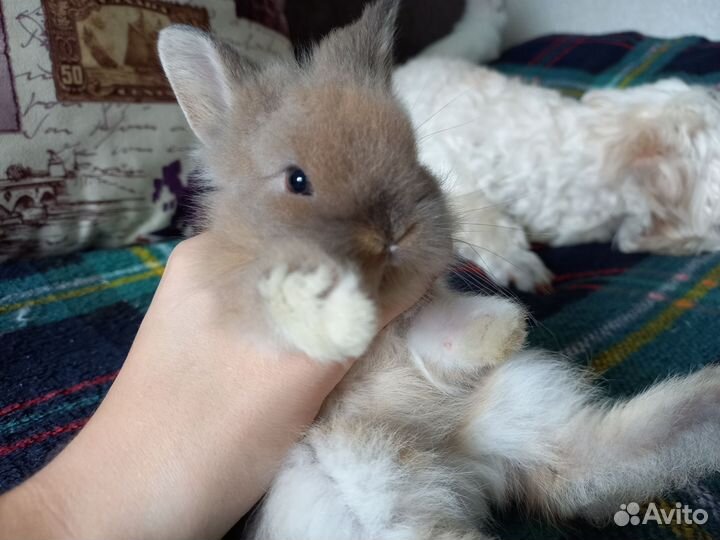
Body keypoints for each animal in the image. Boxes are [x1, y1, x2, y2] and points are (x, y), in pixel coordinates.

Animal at [158, 2, 720, 538]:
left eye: (413, 155)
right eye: (297, 180)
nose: (396, 232)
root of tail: (455, 465)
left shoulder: (423, 312)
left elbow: (434, 329)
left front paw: (504, 325)